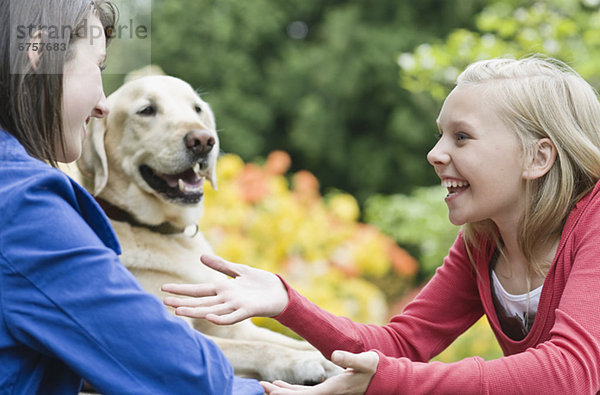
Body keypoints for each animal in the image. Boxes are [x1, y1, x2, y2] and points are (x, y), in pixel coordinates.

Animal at [75, 76, 340, 386]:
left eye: (197, 109)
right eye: (146, 110)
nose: (202, 140)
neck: (164, 231)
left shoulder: (233, 324)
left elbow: (280, 339)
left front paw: (322, 353)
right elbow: (252, 347)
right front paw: (303, 361)